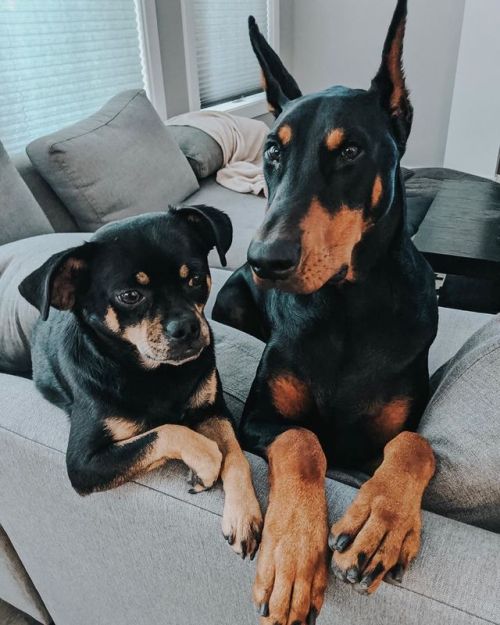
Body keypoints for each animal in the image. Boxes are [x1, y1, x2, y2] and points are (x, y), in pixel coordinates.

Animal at [18, 207, 262, 560]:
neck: (155, 372)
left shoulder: (213, 410)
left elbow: (236, 455)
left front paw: (243, 515)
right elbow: (168, 431)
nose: (188, 329)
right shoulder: (83, 463)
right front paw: (203, 464)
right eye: (130, 295)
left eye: (195, 278)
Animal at [215, 1, 438, 620]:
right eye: (272, 152)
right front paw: (292, 558)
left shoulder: (384, 439)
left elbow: (416, 442)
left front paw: (380, 522)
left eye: (351, 152)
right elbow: (301, 439)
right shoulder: (258, 418)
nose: (264, 260)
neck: (344, 309)